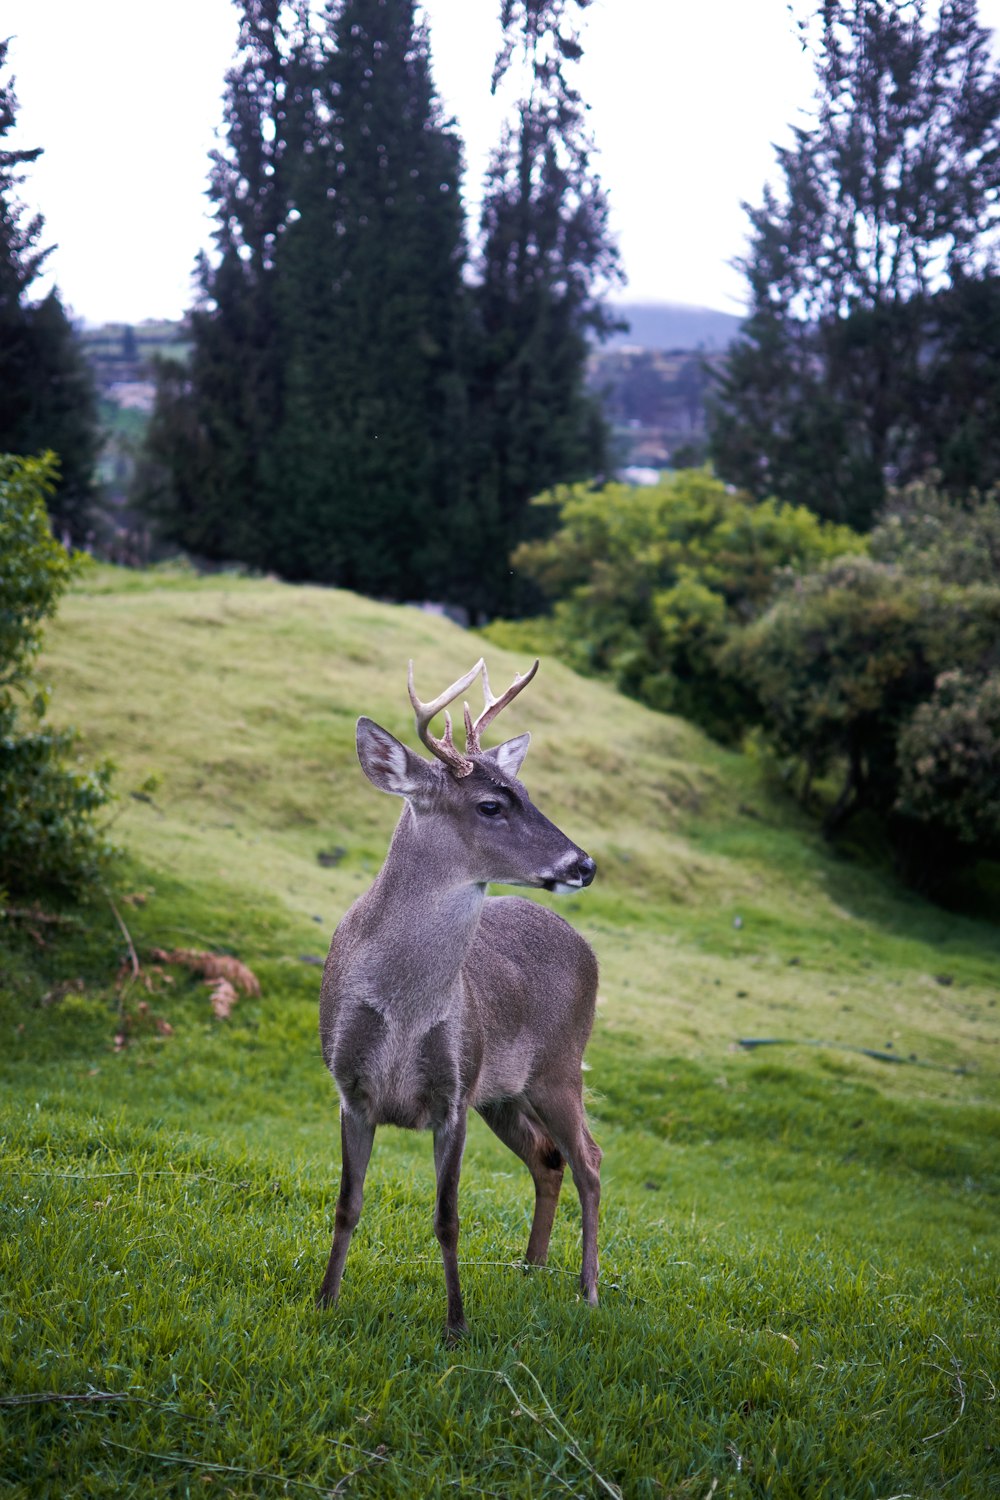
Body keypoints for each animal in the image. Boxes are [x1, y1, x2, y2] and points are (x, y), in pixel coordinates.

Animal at [316, 657, 602, 1338]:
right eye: (492, 803)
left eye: (529, 791)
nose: (584, 864)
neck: (404, 1007)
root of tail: (587, 950)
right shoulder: (349, 1088)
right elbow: (346, 1204)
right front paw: (324, 1300)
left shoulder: (454, 1090)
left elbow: (447, 1218)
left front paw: (455, 1325)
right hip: (505, 1093)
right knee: (549, 1159)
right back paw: (530, 1269)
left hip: (558, 1068)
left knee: (590, 1161)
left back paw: (587, 1289)